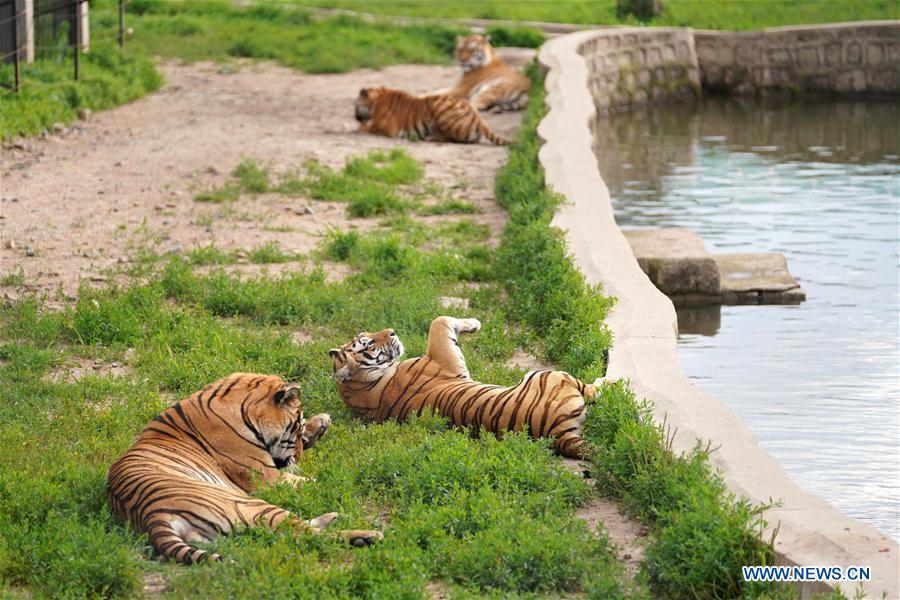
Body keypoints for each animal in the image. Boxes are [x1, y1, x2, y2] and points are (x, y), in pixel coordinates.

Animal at [108, 372, 384, 564]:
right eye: (294, 428)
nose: (297, 457)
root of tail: (151, 515)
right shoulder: (268, 478)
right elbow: (317, 483)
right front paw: (345, 481)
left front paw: (321, 424)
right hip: (251, 505)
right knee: (303, 533)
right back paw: (369, 535)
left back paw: (337, 518)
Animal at [328, 316, 596, 458]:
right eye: (369, 343)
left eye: (366, 334)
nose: (392, 331)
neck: (365, 388)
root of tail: (558, 435)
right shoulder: (442, 352)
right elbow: (438, 320)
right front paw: (475, 323)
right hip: (548, 374)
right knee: (593, 391)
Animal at [354, 86, 510, 145]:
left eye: (355, 105)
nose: (355, 116)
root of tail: (477, 118)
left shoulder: (381, 126)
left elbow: (364, 128)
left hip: (440, 110)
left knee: (449, 138)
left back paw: (429, 137)